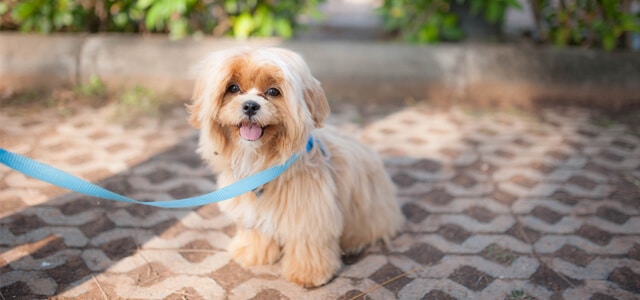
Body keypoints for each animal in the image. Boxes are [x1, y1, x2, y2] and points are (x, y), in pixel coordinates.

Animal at [188, 47, 402, 288]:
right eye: (233, 88)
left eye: (273, 91)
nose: (251, 105)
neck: (262, 161)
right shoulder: (252, 210)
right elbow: (257, 231)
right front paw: (252, 252)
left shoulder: (310, 214)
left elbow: (307, 242)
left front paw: (308, 273)